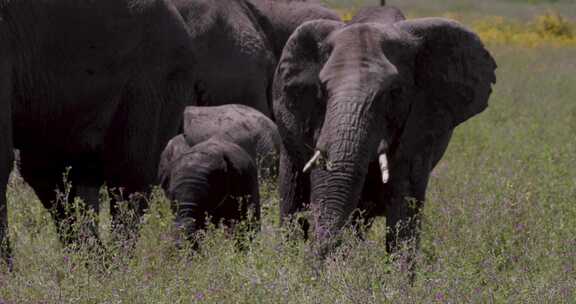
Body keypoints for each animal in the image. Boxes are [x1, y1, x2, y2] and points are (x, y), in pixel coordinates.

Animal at [274, 5, 496, 255]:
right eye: (323, 89)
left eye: (393, 92)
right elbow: (324, 185)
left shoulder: (421, 120)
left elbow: (404, 206)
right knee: (291, 197)